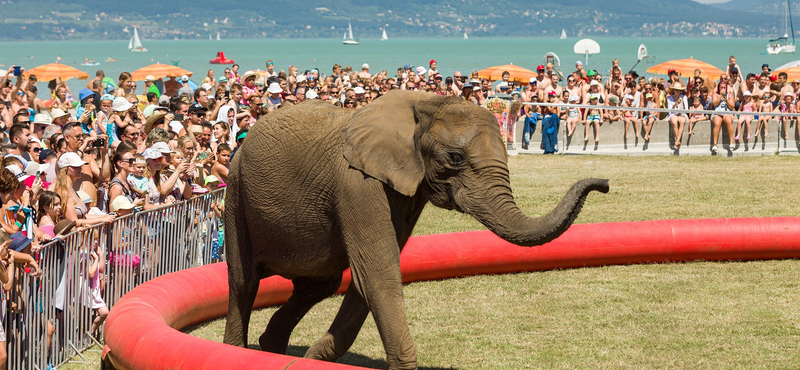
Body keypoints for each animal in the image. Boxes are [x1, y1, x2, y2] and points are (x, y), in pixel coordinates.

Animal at [222, 89, 608, 370]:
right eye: (455, 158)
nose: (603, 183)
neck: (425, 102)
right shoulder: (358, 183)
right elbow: (376, 274)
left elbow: (370, 277)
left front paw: (312, 358)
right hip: (236, 191)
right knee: (244, 283)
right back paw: (242, 349)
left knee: (318, 285)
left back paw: (273, 350)